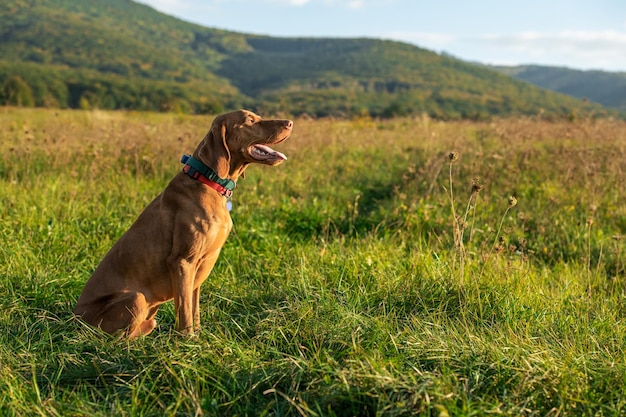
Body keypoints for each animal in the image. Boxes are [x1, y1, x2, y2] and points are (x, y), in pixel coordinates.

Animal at [73, 109, 292, 336]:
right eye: (250, 120)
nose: (290, 122)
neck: (209, 180)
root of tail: (75, 318)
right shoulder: (182, 261)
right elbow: (185, 311)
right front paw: (188, 339)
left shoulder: (198, 268)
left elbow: (193, 309)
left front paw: (198, 337)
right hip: (136, 298)